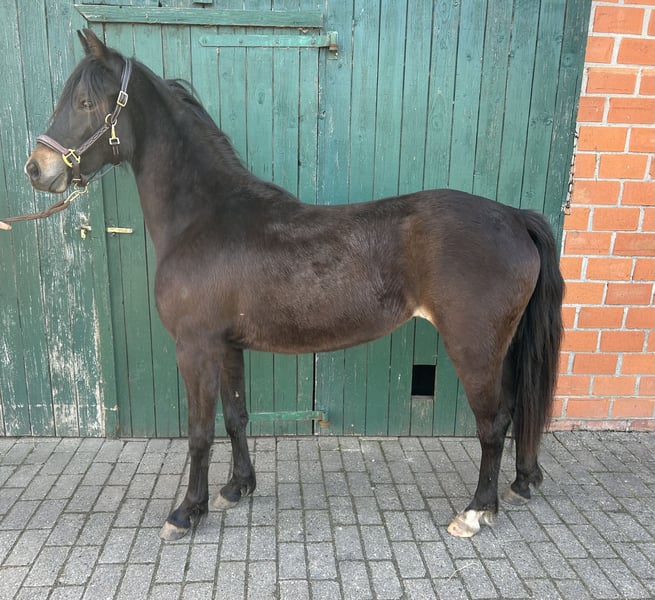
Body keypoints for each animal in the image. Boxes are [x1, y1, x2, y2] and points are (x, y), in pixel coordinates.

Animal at [25, 30, 563, 541]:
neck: (203, 217)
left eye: (85, 102)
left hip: (474, 349)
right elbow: (235, 417)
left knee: (493, 423)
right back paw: (520, 484)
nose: (36, 169)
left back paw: (475, 512)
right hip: (502, 348)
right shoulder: (227, 346)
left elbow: (199, 433)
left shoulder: (195, 347)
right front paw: (236, 488)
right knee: (516, 410)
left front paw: (186, 512)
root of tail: (515, 217)